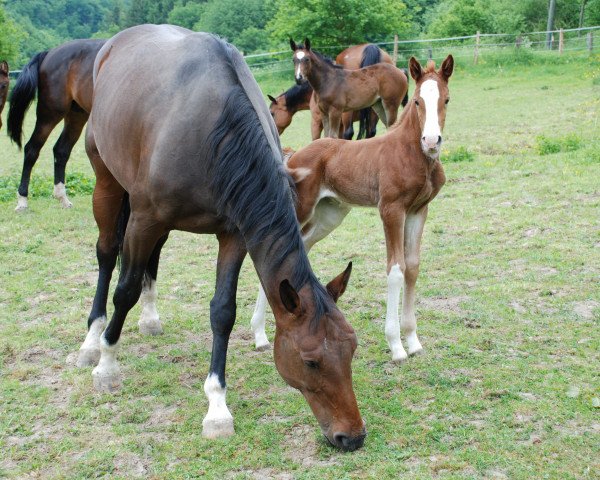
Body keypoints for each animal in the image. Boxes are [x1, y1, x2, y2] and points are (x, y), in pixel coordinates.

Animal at [6, 37, 105, 210]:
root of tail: (49, 53)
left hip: (76, 116)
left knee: (61, 150)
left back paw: (62, 198)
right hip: (49, 114)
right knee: (32, 149)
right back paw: (23, 200)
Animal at [79, 22, 366, 450]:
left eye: (351, 348)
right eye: (311, 361)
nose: (353, 436)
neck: (213, 131)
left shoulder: (234, 234)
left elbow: (222, 312)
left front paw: (217, 407)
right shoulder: (144, 219)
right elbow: (124, 289)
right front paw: (107, 366)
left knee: (153, 258)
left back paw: (150, 318)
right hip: (108, 184)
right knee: (106, 254)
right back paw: (90, 342)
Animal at [250, 54, 454, 362]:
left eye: (446, 100)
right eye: (418, 101)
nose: (431, 141)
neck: (411, 153)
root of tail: (292, 156)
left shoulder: (419, 210)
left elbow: (413, 267)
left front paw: (413, 340)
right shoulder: (391, 209)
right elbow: (396, 269)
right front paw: (396, 346)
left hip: (329, 214)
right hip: (302, 208)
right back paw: (259, 334)